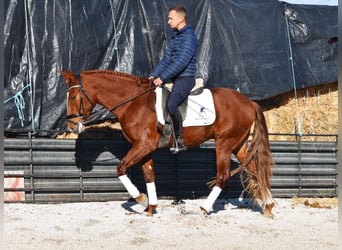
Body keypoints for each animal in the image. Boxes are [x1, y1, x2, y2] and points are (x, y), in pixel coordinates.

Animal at [61, 69, 276, 218]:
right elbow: (149, 175)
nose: (71, 126)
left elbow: (120, 168)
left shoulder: (143, 146)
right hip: (238, 145)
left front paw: (141, 199)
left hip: (224, 144)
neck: (133, 103)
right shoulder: (145, 149)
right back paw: (268, 206)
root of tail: (249, 102)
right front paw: (150, 207)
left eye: (74, 97)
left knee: (223, 176)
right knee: (255, 169)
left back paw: (205, 208)